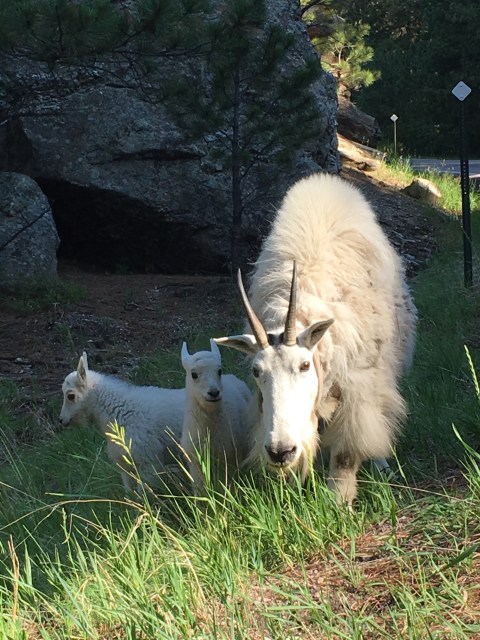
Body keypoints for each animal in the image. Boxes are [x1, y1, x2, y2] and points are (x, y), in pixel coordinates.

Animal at [60, 352, 185, 491]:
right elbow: (129, 492)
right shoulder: (125, 464)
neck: (120, 410)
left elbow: (143, 492)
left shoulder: (148, 461)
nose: (61, 420)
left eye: (70, 396)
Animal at [215, 173, 416, 506]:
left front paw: (339, 501)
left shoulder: (357, 390)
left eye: (305, 365)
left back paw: (382, 465)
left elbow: (347, 453)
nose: (280, 451)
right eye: (256, 371)